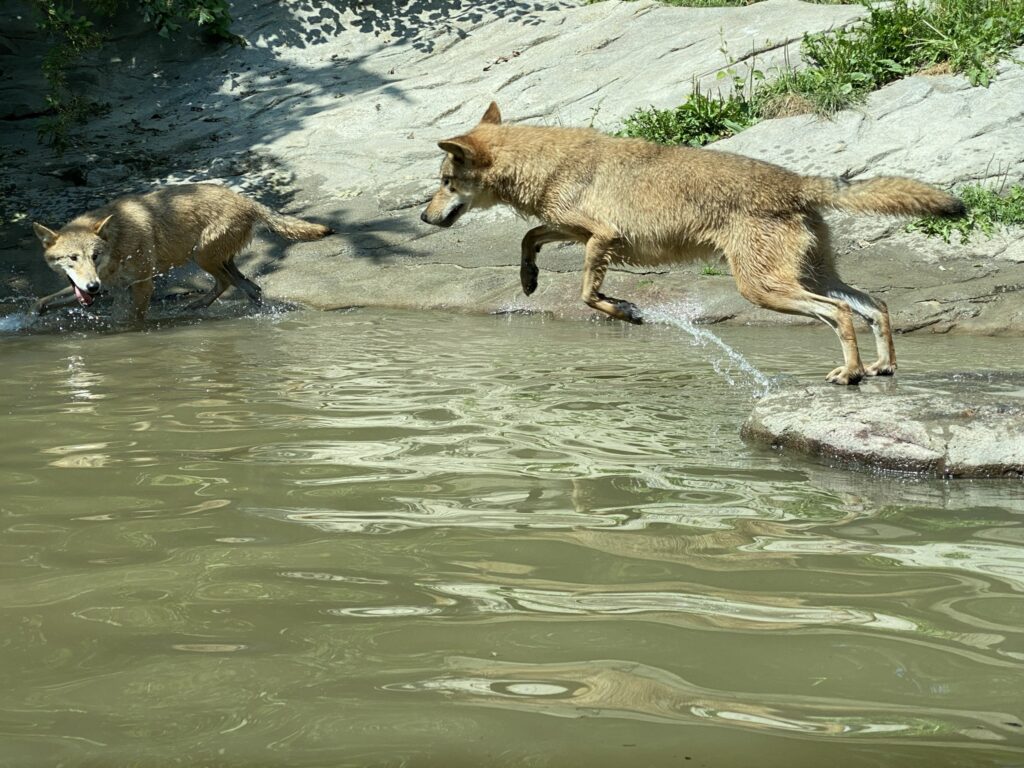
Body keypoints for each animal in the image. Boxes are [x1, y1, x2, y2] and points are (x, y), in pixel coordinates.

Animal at [33, 183, 332, 321]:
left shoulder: (142, 285)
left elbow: (131, 321)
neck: (117, 245)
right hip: (215, 259)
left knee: (228, 283)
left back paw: (196, 306)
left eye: (94, 256)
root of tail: (245, 199)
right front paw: (33, 314)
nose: (92, 286)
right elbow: (44, 299)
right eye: (72, 259)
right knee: (251, 287)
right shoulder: (109, 288)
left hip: (201, 256)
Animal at [420, 102, 965, 385]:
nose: (424, 216)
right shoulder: (571, 229)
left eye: (446, 181)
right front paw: (529, 279)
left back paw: (849, 373)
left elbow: (587, 292)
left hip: (763, 288)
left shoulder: (602, 236)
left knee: (842, 312)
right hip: (810, 275)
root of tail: (800, 182)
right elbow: (528, 236)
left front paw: (625, 311)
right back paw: (881, 367)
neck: (544, 165)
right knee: (876, 305)